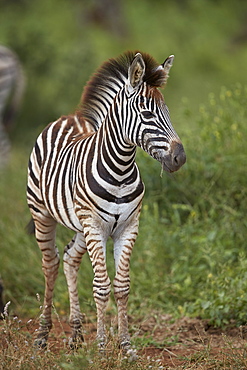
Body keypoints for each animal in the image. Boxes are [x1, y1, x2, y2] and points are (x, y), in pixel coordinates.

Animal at [27, 49, 185, 350]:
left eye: (169, 113)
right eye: (148, 113)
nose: (179, 158)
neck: (120, 170)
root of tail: (70, 117)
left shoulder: (128, 227)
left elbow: (122, 286)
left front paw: (125, 345)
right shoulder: (95, 226)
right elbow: (101, 286)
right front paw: (101, 346)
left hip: (81, 226)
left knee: (69, 259)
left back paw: (76, 334)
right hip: (43, 213)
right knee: (50, 264)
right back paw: (42, 335)